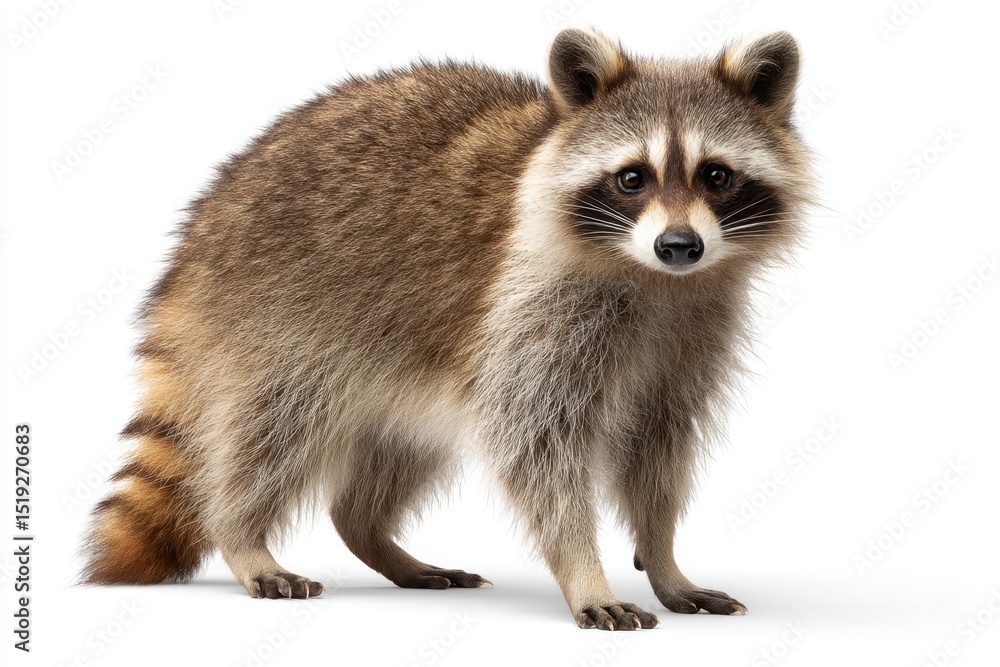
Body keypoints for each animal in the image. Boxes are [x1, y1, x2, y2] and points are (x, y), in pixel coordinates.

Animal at [81, 28, 812, 630]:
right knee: (273, 428)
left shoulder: (694, 328)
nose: (679, 245)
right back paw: (241, 534)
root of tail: (205, 219)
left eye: (716, 175)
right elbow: (537, 445)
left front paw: (662, 556)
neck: (657, 280)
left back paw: (372, 534)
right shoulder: (534, 310)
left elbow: (659, 448)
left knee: (391, 450)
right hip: (275, 314)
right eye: (632, 178)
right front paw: (583, 568)